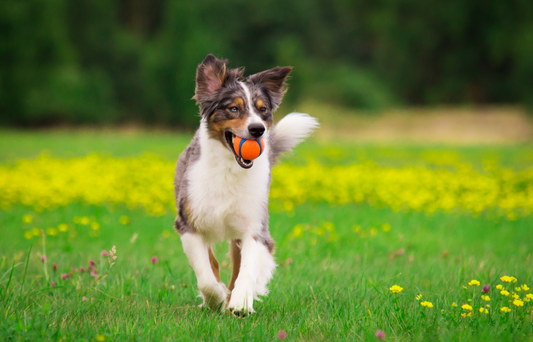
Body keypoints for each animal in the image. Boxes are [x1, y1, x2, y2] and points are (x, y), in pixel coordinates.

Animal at [174, 54, 316, 316]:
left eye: (263, 110)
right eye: (233, 108)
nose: (257, 129)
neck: (230, 169)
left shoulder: (255, 227)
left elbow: (247, 269)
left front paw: (240, 303)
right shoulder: (188, 223)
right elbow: (206, 275)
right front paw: (216, 299)